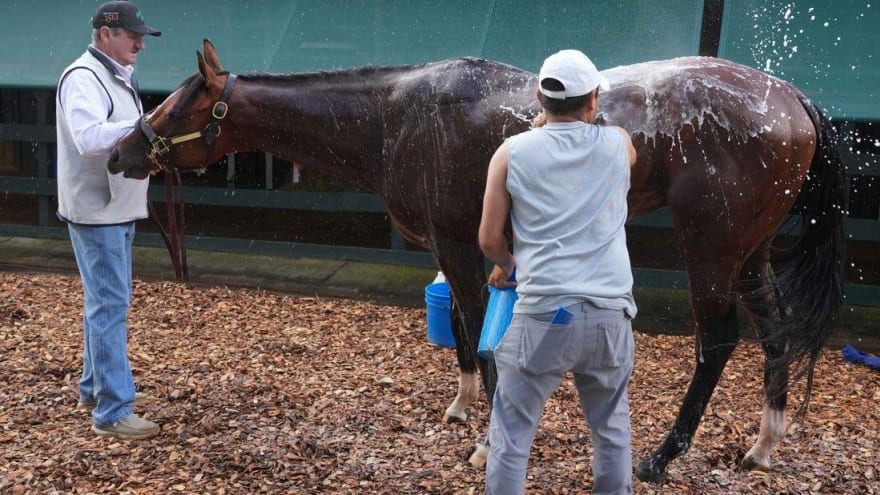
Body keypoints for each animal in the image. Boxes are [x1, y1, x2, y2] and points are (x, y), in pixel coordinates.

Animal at [106, 39, 844, 484]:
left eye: (177, 107)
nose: (119, 153)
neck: (394, 114)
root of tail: (793, 100)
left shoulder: (465, 246)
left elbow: (482, 336)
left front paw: (489, 439)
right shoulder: (450, 245)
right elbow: (464, 331)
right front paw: (462, 408)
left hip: (711, 249)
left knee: (718, 340)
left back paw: (662, 456)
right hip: (750, 251)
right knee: (774, 333)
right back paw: (765, 444)